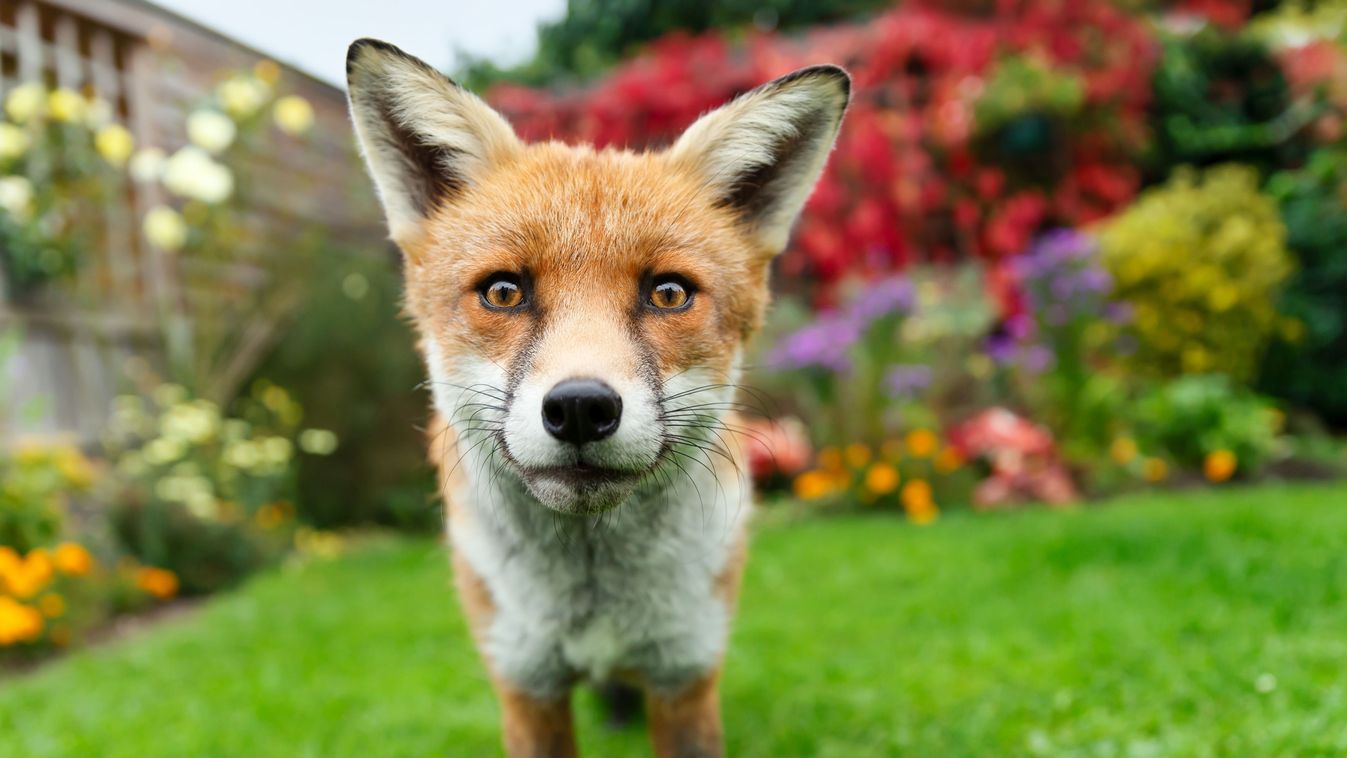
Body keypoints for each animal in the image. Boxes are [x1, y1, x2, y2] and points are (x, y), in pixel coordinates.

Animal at [347, 41, 851, 758]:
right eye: (503, 291)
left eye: (668, 293)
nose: (581, 407)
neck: (595, 599)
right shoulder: (526, 684)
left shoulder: (685, 672)